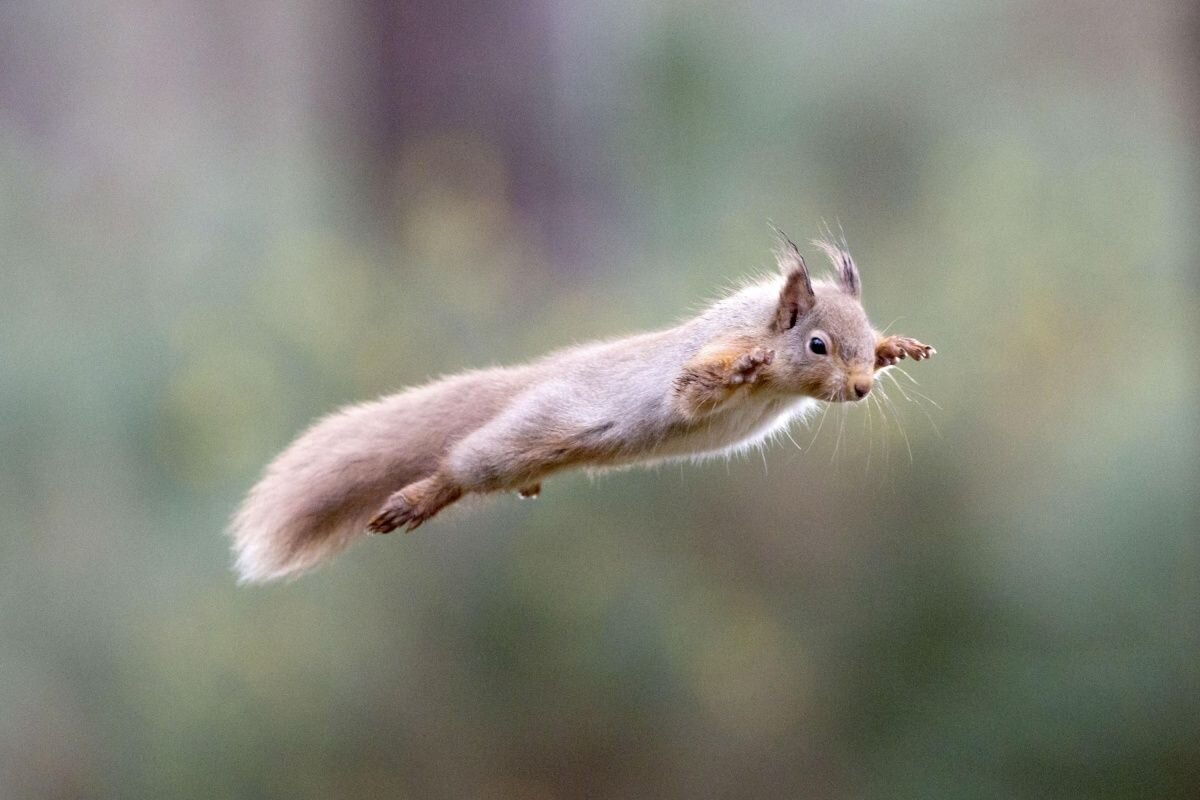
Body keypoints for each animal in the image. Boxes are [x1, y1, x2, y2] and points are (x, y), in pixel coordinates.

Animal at [229, 231, 931, 582]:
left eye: (865, 333)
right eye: (817, 345)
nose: (863, 387)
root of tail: (535, 379)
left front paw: (899, 348)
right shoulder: (695, 367)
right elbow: (691, 389)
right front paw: (744, 366)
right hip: (532, 429)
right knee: (464, 462)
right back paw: (419, 497)